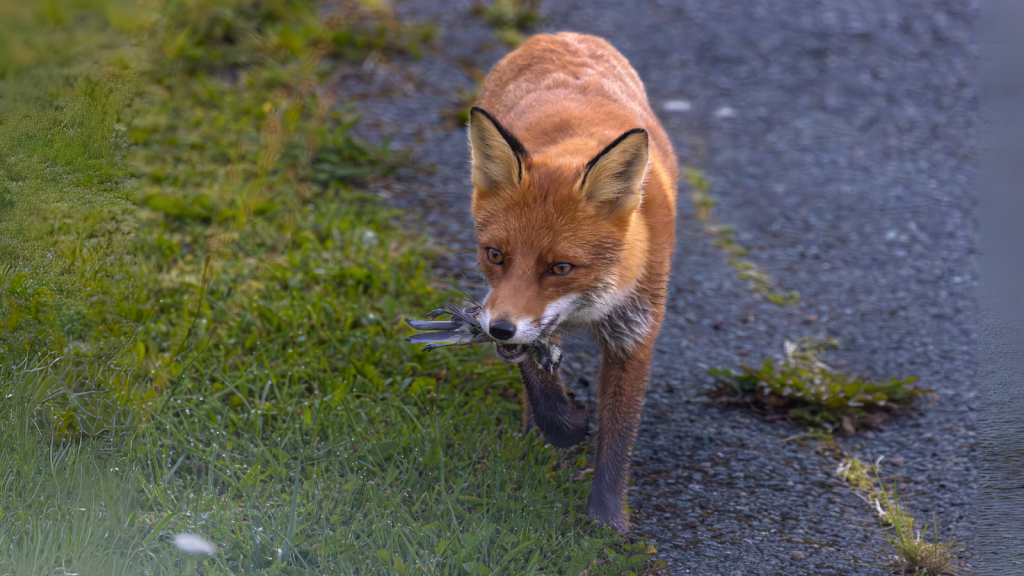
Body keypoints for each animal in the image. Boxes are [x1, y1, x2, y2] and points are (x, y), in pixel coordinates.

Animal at [466, 32, 675, 532]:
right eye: (495, 255)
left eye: (560, 268)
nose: (498, 330)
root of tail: (561, 36)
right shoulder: (508, 306)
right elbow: (537, 379)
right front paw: (565, 426)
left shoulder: (634, 334)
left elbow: (619, 434)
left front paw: (607, 522)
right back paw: (529, 442)